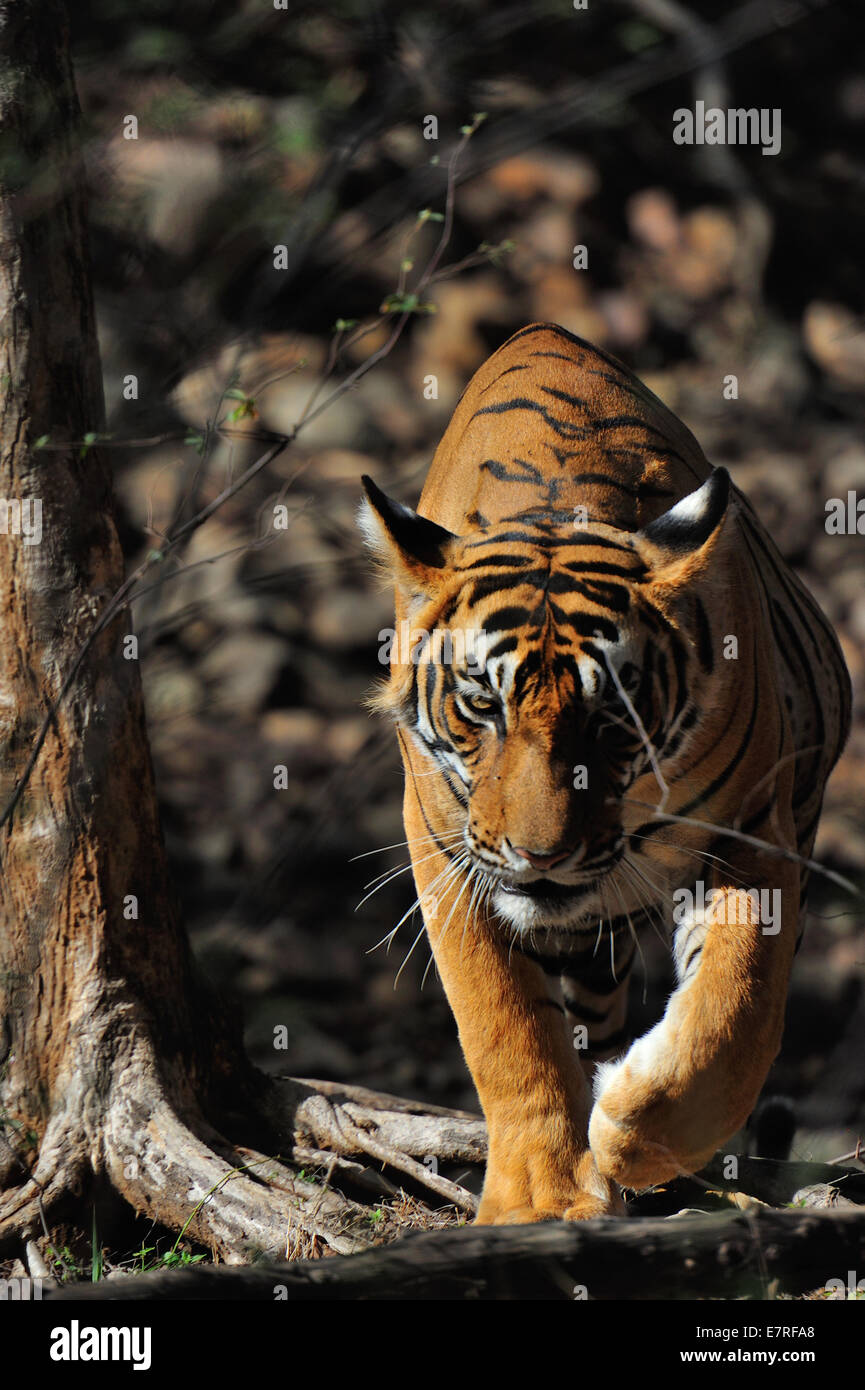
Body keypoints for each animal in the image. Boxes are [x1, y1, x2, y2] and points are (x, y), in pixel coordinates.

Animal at [359, 322, 851, 1224]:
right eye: (481, 703)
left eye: (611, 717)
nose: (539, 856)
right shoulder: (443, 845)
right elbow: (502, 1024)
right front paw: (538, 1197)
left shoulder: (750, 830)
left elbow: (733, 1005)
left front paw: (633, 1132)